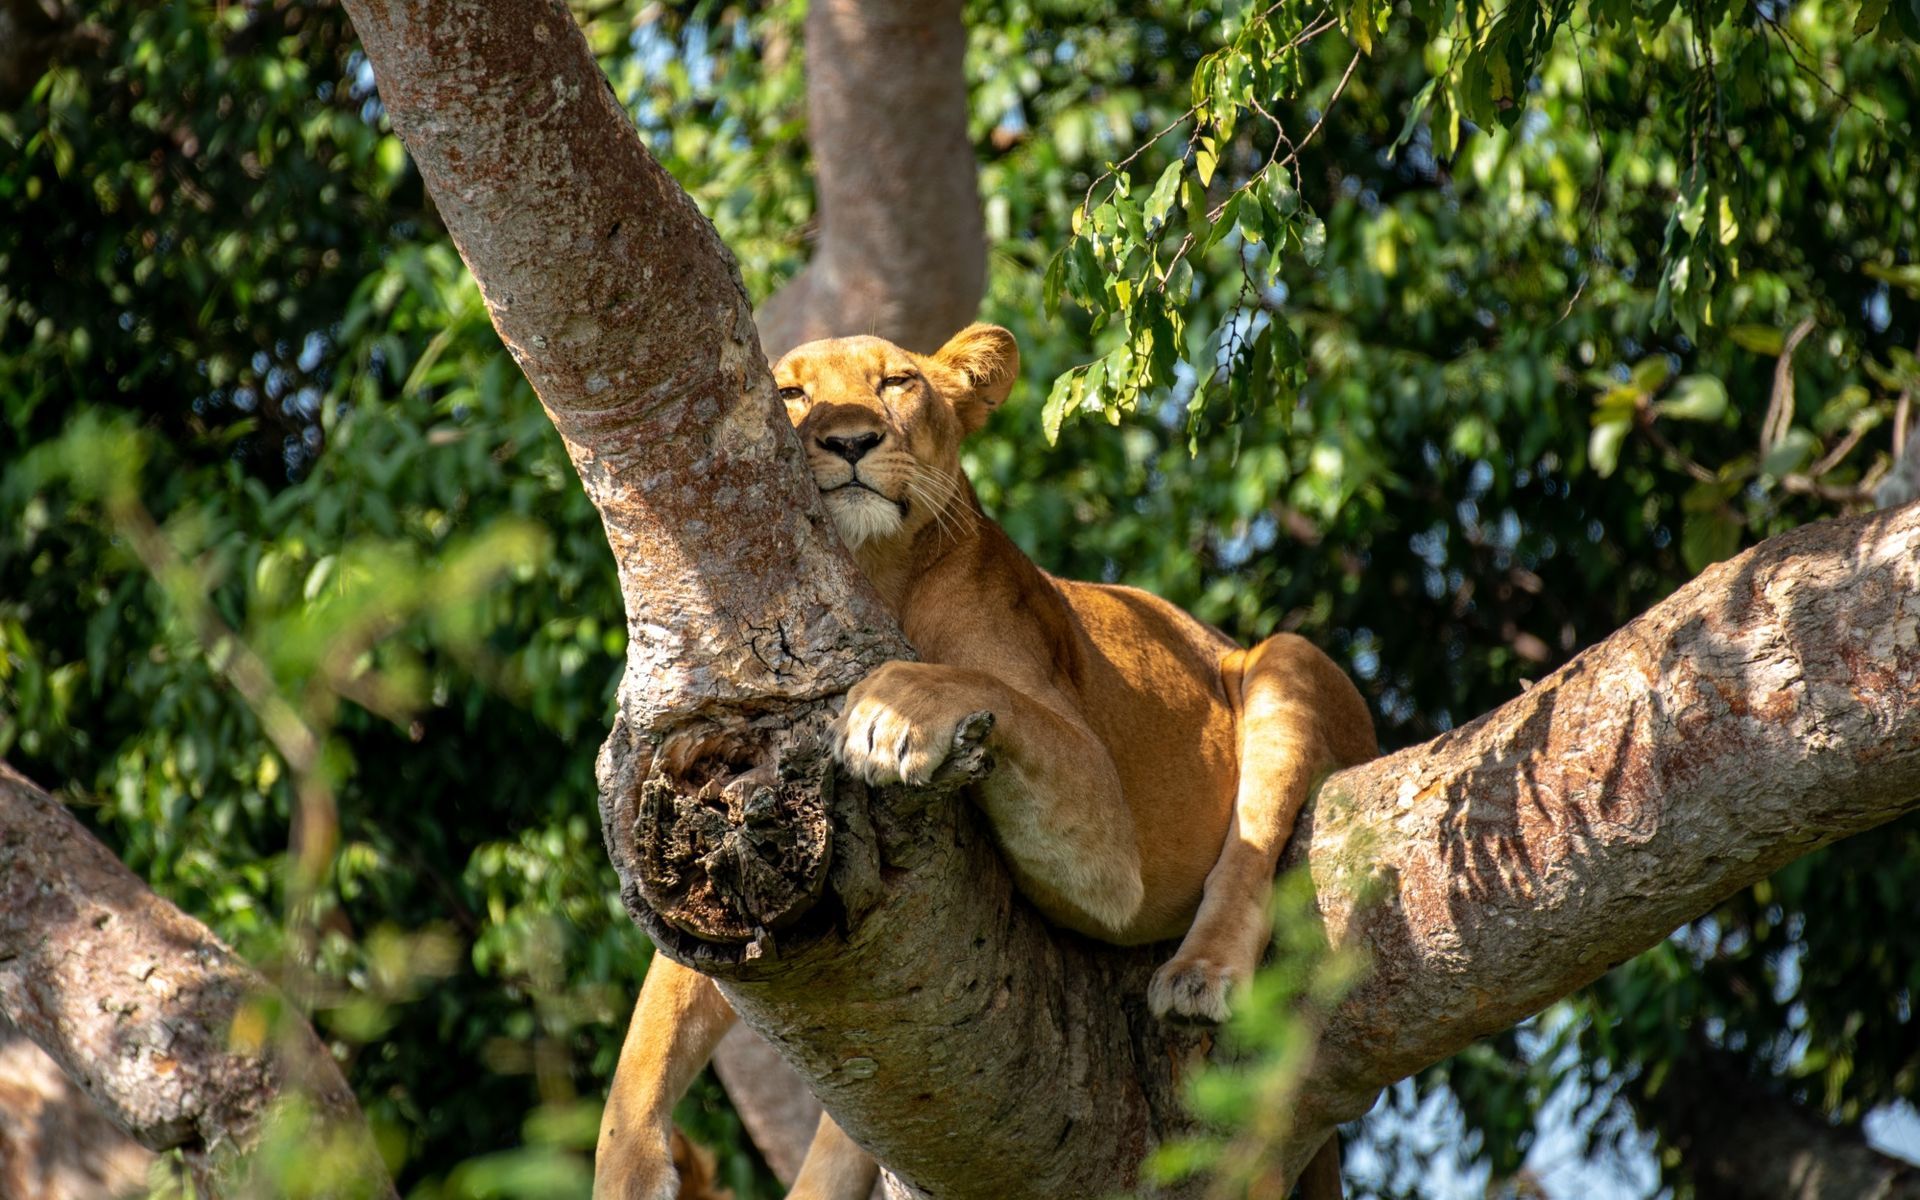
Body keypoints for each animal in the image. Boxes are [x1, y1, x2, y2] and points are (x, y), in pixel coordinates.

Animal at [594, 324, 1375, 1200]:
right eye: (790, 393)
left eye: (896, 382)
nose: (851, 440)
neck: (879, 575)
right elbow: (656, 1017)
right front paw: (626, 1168)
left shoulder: (1107, 840)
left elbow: (977, 690)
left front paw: (889, 711)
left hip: (1285, 658)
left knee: (1252, 847)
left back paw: (1200, 974)